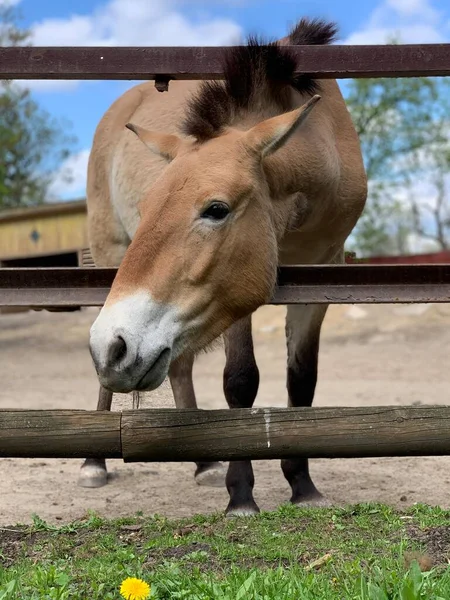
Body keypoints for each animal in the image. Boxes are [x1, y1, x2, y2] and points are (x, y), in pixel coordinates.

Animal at [79, 18, 368, 516]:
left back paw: (205, 464)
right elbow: (240, 380)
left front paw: (302, 484)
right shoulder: (235, 295)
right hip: (111, 255)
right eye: (149, 206)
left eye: (216, 209)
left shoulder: (320, 275)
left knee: (177, 366)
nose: (116, 345)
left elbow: (302, 380)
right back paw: (95, 463)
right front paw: (242, 494)